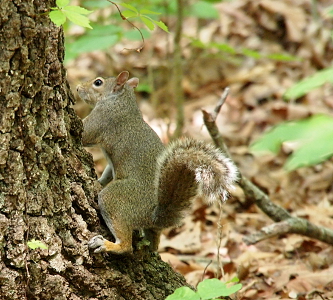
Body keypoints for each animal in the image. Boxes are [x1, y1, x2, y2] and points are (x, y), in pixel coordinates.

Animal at [76, 71, 237, 254]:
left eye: (98, 82)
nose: (78, 88)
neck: (121, 100)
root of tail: (153, 216)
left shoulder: (103, 118)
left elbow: (84, 133)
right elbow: (109, 171)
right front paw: (99, 181)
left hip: (115, 199)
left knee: (126, 246)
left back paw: (107, 245)